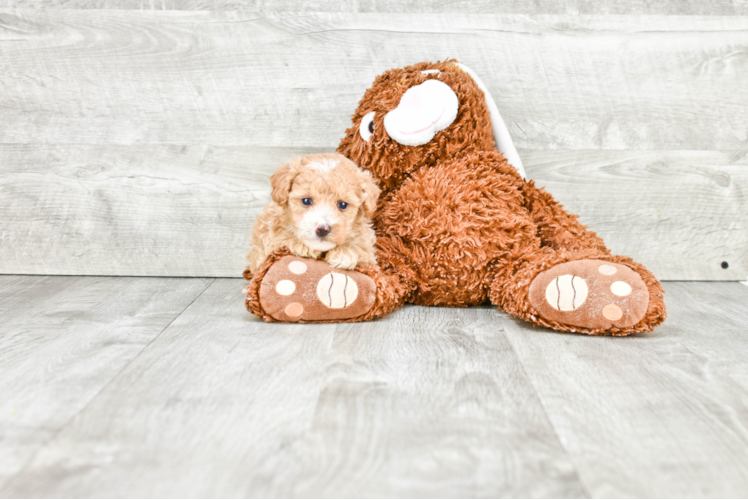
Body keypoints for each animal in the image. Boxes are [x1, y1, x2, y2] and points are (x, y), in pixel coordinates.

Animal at [248, 154, 380, 276]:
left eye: (342, 204)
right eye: (306, 201)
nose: (322, 229)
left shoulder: (368, 248)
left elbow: (362, 248)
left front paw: (345, 252)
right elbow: (280, 240)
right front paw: (301, 246)